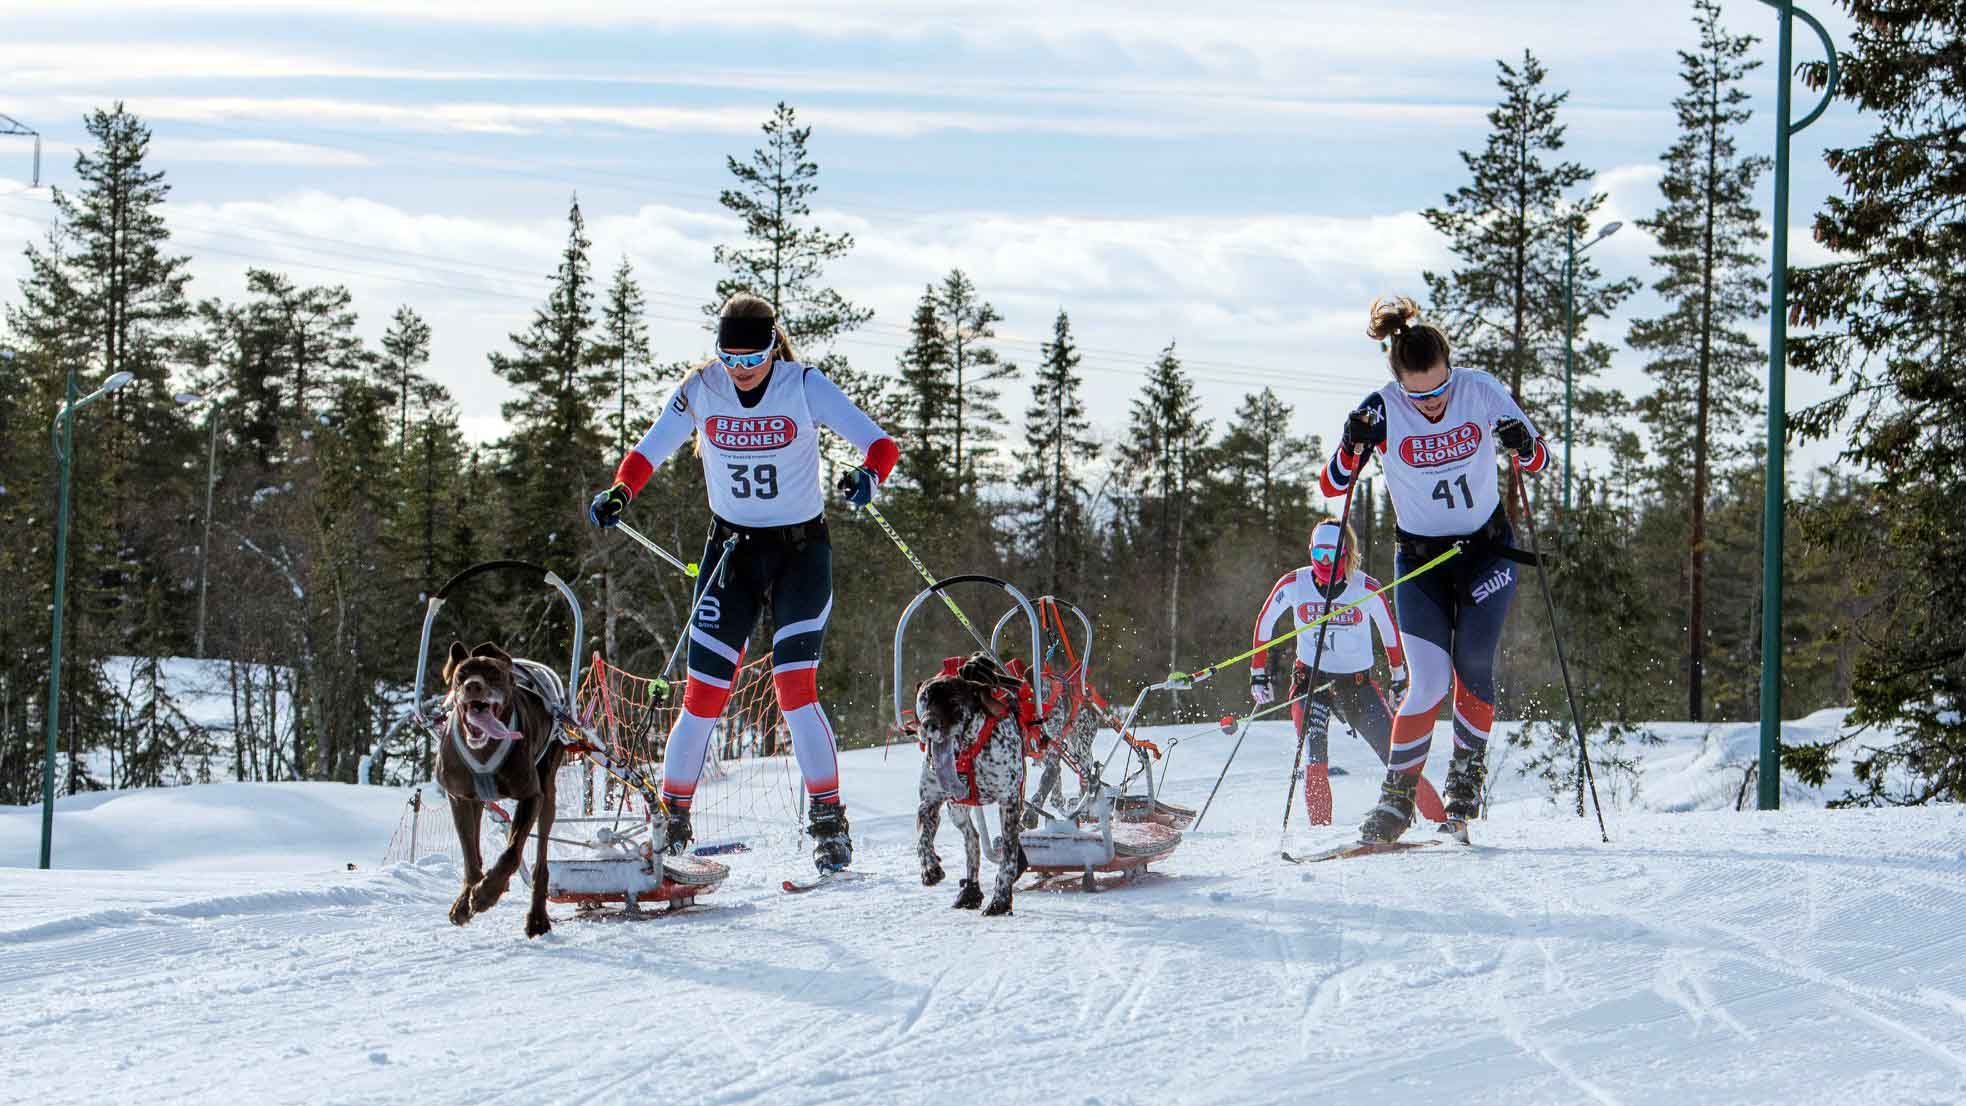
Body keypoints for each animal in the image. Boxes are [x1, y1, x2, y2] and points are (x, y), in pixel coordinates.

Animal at [438, 640, 570, 942]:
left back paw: (537, 917)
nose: (473, 686)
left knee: (540, 861)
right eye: (462, 675)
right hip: (479, 801)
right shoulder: (460, 798)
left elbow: (512, 852)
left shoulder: (531, 796)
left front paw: (487, 893)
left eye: (493, 674)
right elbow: (470, 855)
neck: (484, 749)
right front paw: (466, 900)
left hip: (548, 791)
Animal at [920, 648, 1038, 919]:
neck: (966, 751)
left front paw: (1001, 900)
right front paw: (929, 867)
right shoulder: (930, 802)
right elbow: (923, 840)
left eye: (954, 700)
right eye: (924, 698)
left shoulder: (1009, 803)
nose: (928, 724)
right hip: (957, 811)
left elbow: (1007, 859)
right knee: (972, 840)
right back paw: (970, 891)